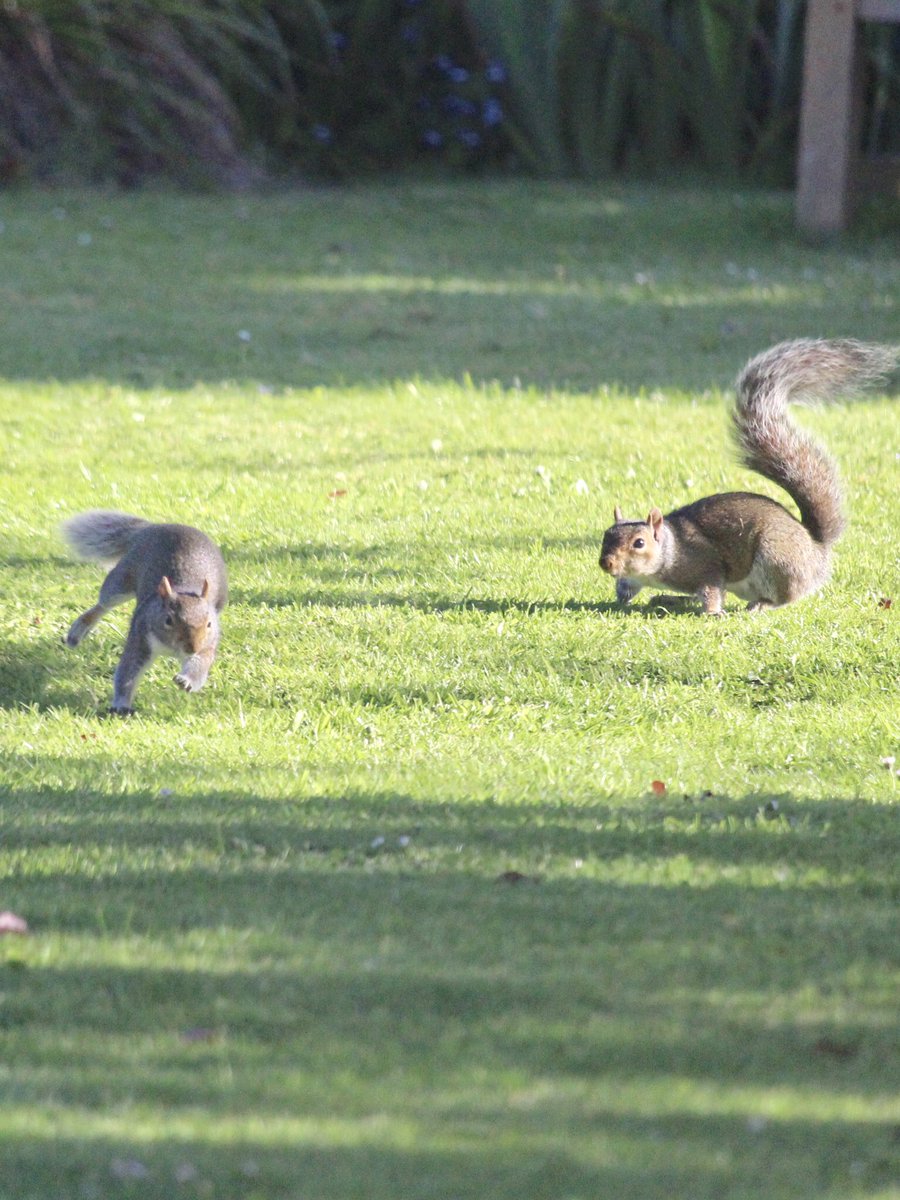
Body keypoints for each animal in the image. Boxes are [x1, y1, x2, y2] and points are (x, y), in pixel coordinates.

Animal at [62, 510, 228, 714]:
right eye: (168, 620)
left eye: (209, 623)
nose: (191, 648)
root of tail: (155, 527)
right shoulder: (140, 637)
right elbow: (128, 671)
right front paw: (121, 704)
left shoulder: (208, 645)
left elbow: (200, 665)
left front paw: (186, 681)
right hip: (121, 580)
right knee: (103, 605)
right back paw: (78, 630)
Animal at [599, 338, 897, 614]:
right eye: (605, 535)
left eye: (639, 543)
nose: (606, 563)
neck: (670, 551)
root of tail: (816, 549)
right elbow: (628, 586)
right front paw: (619, 599)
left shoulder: (706, 565)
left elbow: (711, 590)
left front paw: (712, 613)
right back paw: (668, 598)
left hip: (777, 561)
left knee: (784, 597)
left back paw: (760, 605)